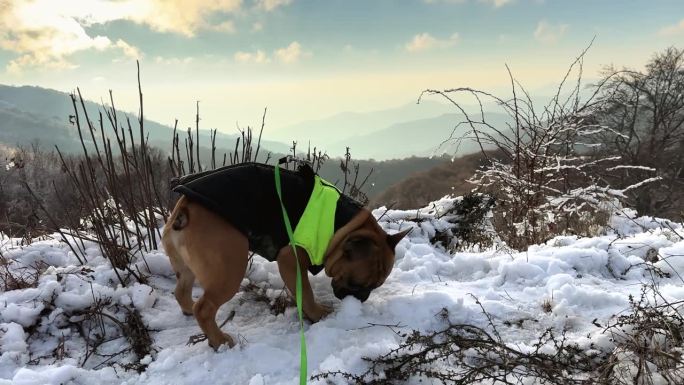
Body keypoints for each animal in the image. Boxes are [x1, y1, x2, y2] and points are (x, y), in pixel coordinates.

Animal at [162, 162, 406, 348]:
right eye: (356, 284)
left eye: (375, 286)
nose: (362, 298)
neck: (346, 227)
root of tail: (184, 208)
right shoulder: (291, 259)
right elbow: (306, 292)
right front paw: (317, 314)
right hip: (230, 269)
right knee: (204, 308)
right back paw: (219, 340)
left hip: (185, 268)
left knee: (181, 292)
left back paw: (189, 310)